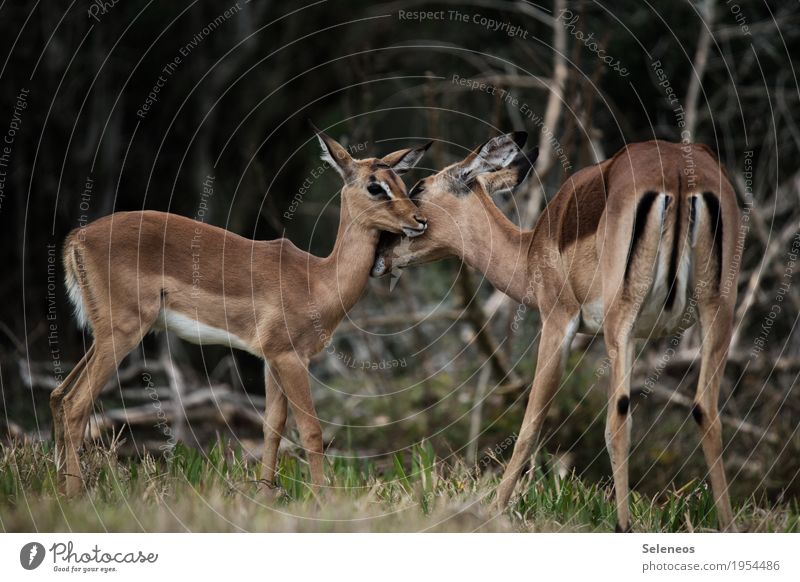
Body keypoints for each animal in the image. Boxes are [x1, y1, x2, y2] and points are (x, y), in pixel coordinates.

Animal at [52, 128, 432, 498]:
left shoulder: (271, 359)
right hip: (123, 333)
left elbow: (272, 427)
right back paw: (75, 495)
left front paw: (265, 495)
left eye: (401, 182)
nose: (421, 220)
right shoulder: (292, 358)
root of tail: (77, 239)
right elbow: (311, 430)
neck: (317, 280)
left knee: (58, 396)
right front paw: (323, 499)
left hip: (105, 336)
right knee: (75, 403)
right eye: (374, 186)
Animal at [372, 133, 740, 532]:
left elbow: (530, 425)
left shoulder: (557, 320)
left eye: (419, 188)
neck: (533, 248)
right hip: (717, 310)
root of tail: (678, 175)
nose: (379, 256)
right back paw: (727, 525)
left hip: (622, 319)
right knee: (706, 411)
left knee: (618, 421)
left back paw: (623, 525)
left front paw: (494, 512)